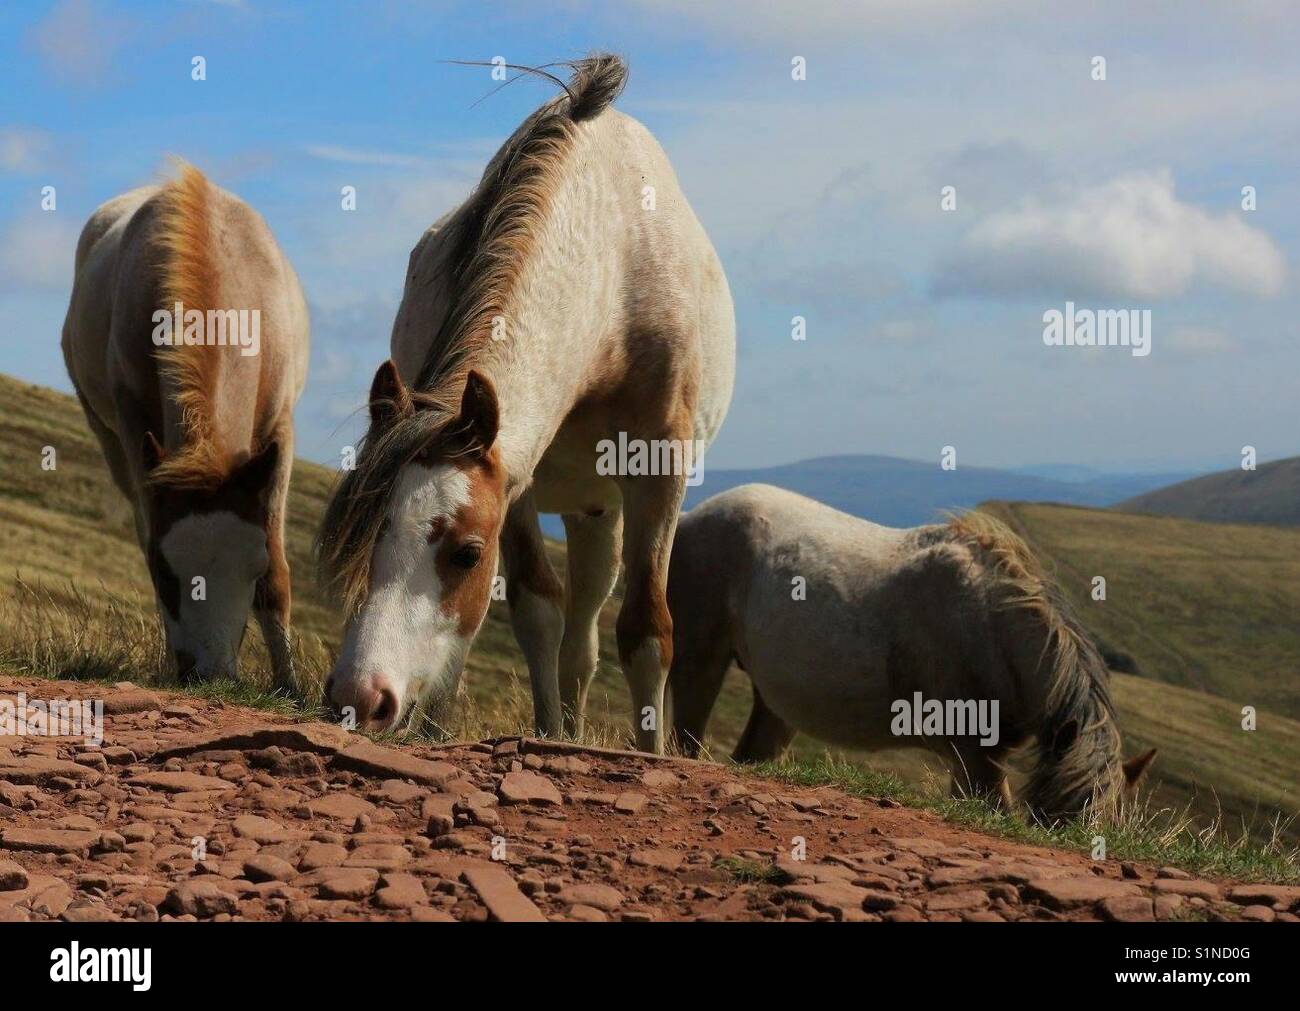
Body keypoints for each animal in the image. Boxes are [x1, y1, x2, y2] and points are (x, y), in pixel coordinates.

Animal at [61, 162, 309, 687]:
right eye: (165, 572)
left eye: (253, 567)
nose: (211, 674)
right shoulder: (133, 426)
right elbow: (148, 532)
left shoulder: (279, 431)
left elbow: (279, 575)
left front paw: (290, 687)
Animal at [317, 55, 735, 751]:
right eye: (364, 532)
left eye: (466, 553)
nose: (360, 697)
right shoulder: (514, 476)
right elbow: (537, 608)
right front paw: (542, 731)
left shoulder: (659, 473)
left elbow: (647, 630)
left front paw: (651, 751)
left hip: (606, 508)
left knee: (591, 632)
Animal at [666, 484, 1156, 822]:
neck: (991, 625)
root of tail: (690, 517)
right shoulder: (974, 757)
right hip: (700, 662)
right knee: (684, 739)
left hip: (776, 703)